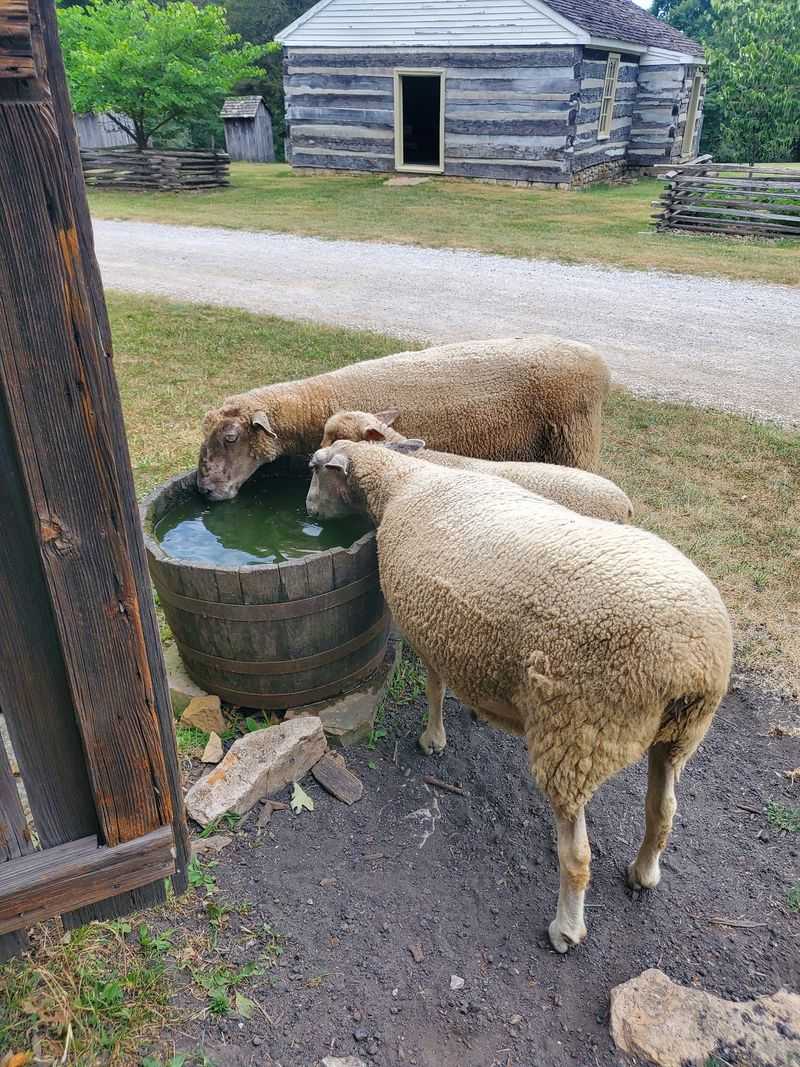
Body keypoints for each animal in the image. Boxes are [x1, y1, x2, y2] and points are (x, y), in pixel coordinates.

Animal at [306, 441, 733, 953]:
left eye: (316, 470)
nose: (307, 512)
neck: (404, 483)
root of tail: (693, 661)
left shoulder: (428, 633)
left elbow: (434, 688)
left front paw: (433, 739)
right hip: (679, 734)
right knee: (663, 810)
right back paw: (643, 873)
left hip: (576, 732)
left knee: (577, 855)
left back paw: (566, 928)